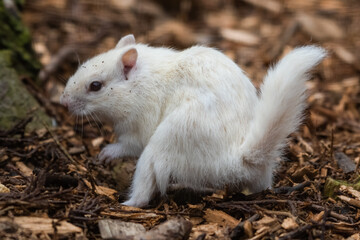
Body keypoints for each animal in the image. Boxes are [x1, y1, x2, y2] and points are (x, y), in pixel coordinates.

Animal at [59, 34, 326, 207]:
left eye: (95, 86)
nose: (64, 102)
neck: (142, 80)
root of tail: (236, 160)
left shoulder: (141, 120)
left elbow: (129, 145)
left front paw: (108, 152)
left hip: (164, 144)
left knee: (145, 189)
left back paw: (128, 204)